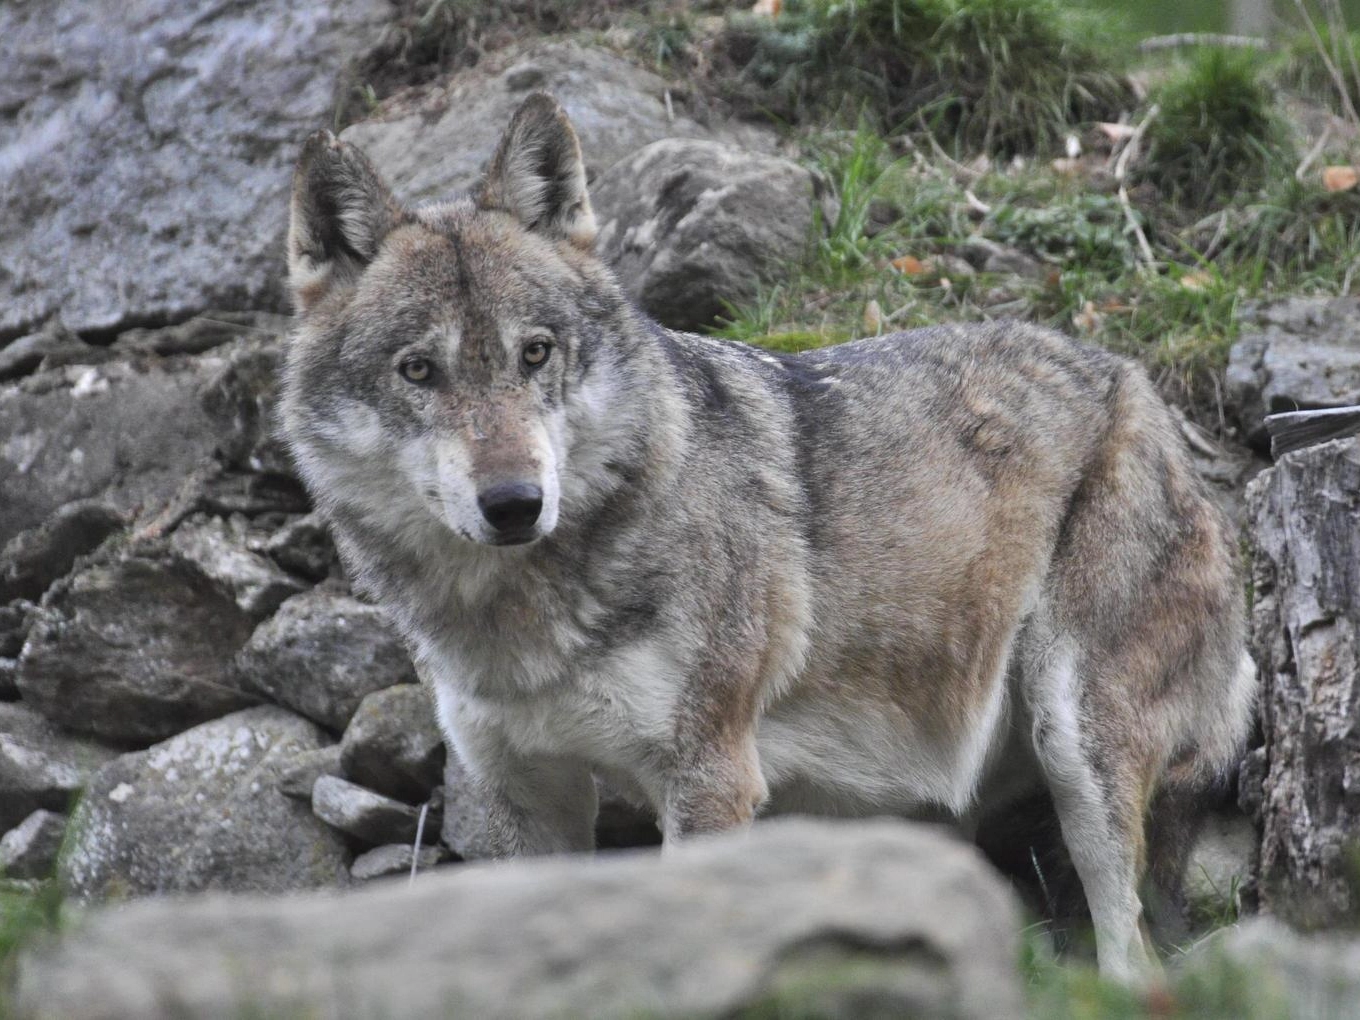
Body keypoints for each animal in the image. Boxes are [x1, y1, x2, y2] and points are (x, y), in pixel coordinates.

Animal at [276, 93, 1251, 984]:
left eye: (536, 353)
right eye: (418, 371)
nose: (515, 503)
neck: (522, 617)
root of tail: (1137, 383)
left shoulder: (710, 780)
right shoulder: (524, 795)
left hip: (1076, 745)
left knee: (1134, 956)